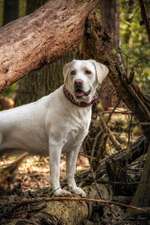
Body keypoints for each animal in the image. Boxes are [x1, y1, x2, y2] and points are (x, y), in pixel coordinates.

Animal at [0, 60, 108, 197]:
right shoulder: (56, 144)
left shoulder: (75, 146)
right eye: (73, 72)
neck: (76, 106)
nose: (77, 82)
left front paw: (74, 189)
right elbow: (56, 170)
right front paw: (58, 191)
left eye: (88, 72)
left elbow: (71, 170)